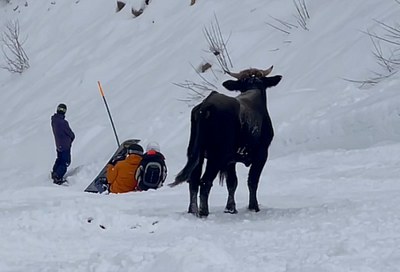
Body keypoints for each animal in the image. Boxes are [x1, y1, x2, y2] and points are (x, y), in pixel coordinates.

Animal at [168, 67, 282, 217]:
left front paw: (230, 208)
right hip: (216, 155)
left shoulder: (230, 160)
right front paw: (253, 207)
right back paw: (204, 212)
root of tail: (206, 104)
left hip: (196, 153)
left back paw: (193, 210)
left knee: (193, 181)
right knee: (205, 181)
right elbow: (252, 180)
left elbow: (232, 182)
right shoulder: (262, 153)